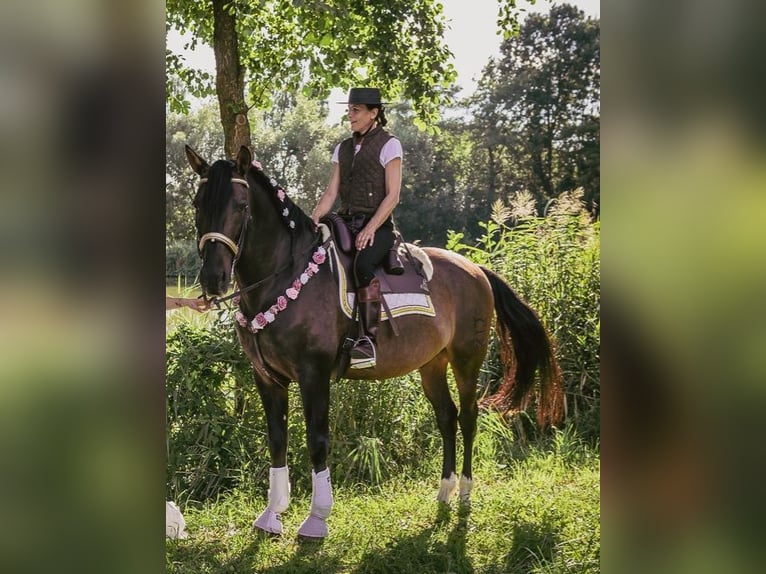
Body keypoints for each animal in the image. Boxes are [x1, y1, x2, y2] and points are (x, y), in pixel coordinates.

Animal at [184, 144, 564, 539]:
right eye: (197, 203)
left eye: (241, 205)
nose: (213, 279)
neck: (285, 278)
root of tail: (476, 270)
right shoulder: (267, 378)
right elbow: (277, 440)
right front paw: (272, 514)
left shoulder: (313, 374)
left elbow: (317, 441)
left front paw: (317, 518)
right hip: (432, 364)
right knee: (446, 417)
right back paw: (444, 492)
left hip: (466, 361)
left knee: (468, 417)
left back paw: (464, 493)